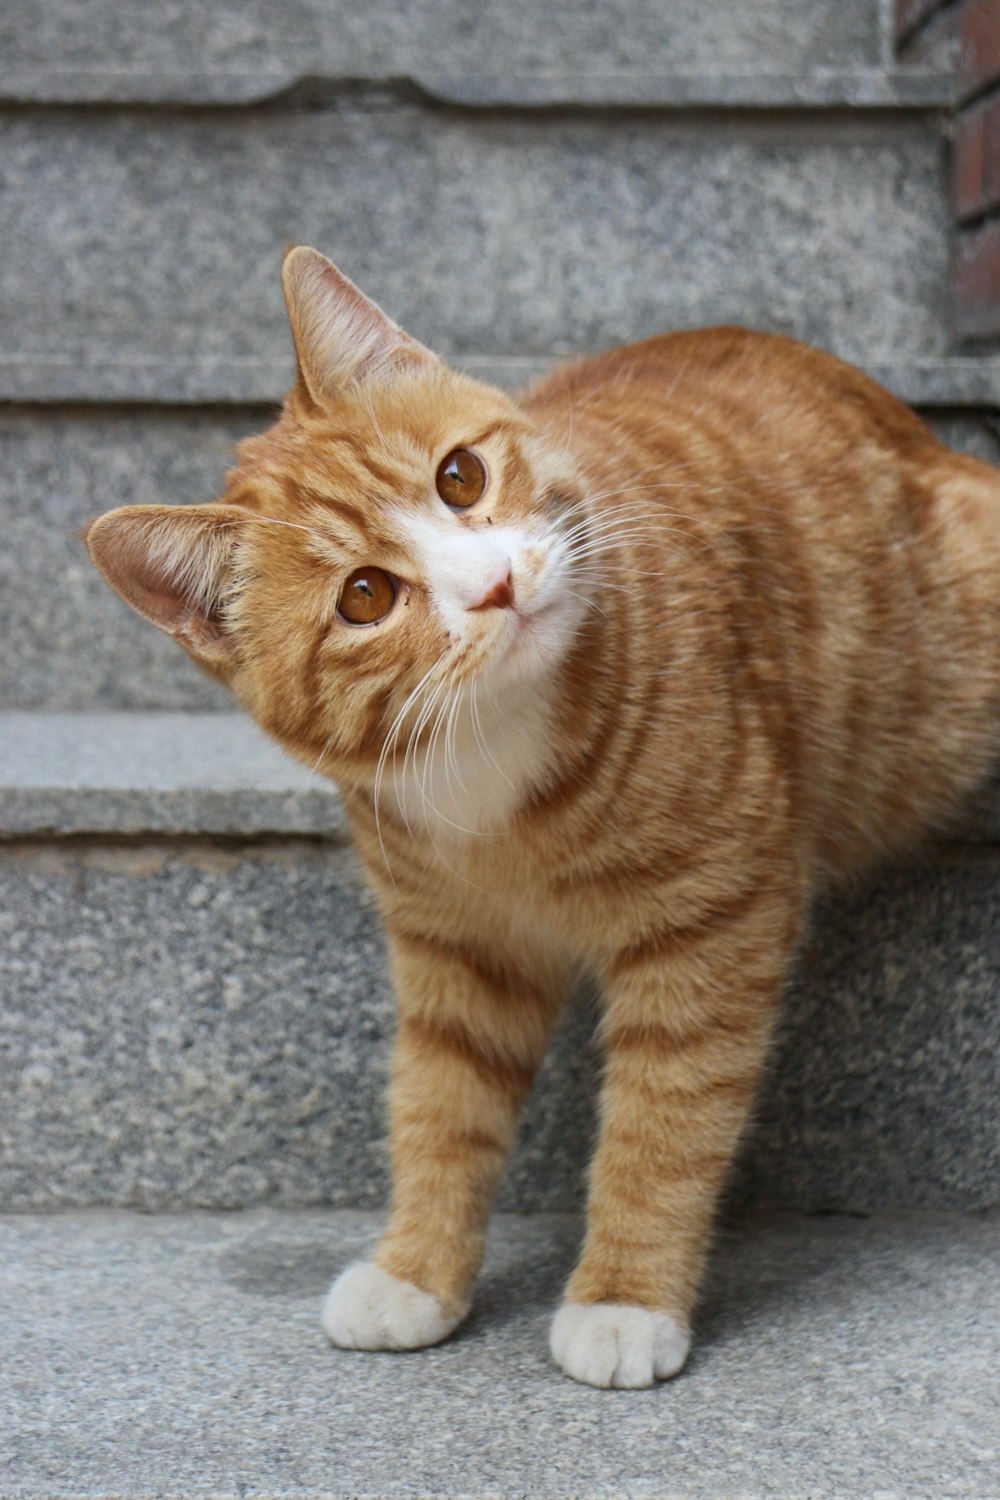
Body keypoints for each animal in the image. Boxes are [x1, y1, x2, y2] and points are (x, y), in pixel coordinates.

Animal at [83, 246, 1000, 1380]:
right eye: (364, 598)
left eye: (458, 478)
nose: (495, 585)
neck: (490, 750)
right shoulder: (455, 951)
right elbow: (438, 1108)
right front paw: (415, 1271)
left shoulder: (709, 923)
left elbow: (663, 1121)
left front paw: (624, 1299)